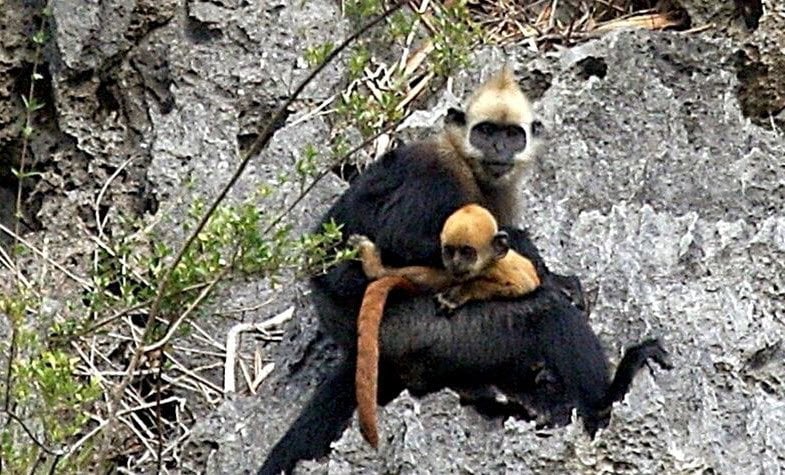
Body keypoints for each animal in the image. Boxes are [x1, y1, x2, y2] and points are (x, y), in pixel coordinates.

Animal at [350, 203, 540, 310]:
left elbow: (523, 284)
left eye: (467, 253)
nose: (455, 262)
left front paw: (458, 294)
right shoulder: (451, 272)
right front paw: (370, 260)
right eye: (449, 251)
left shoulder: (500, 269)